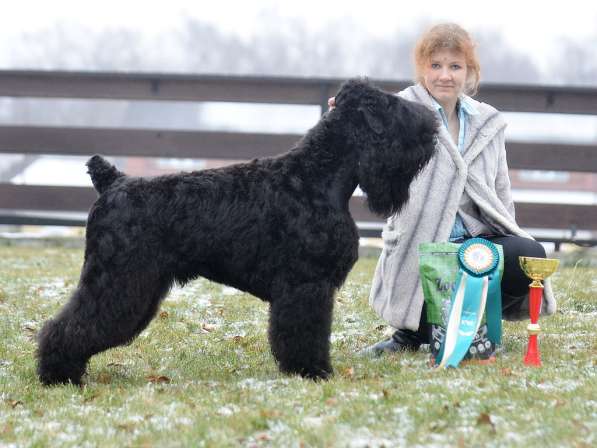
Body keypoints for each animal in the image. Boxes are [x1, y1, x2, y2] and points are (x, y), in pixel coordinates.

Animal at [38, 78, 438, 384]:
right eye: (393, 107)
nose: (432, 128)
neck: (314, 176)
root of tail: (112, 182)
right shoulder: (306, 285)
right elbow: (305, 332)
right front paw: (312, 371)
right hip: (117, 279)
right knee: (70, 324)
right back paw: (58, 374)